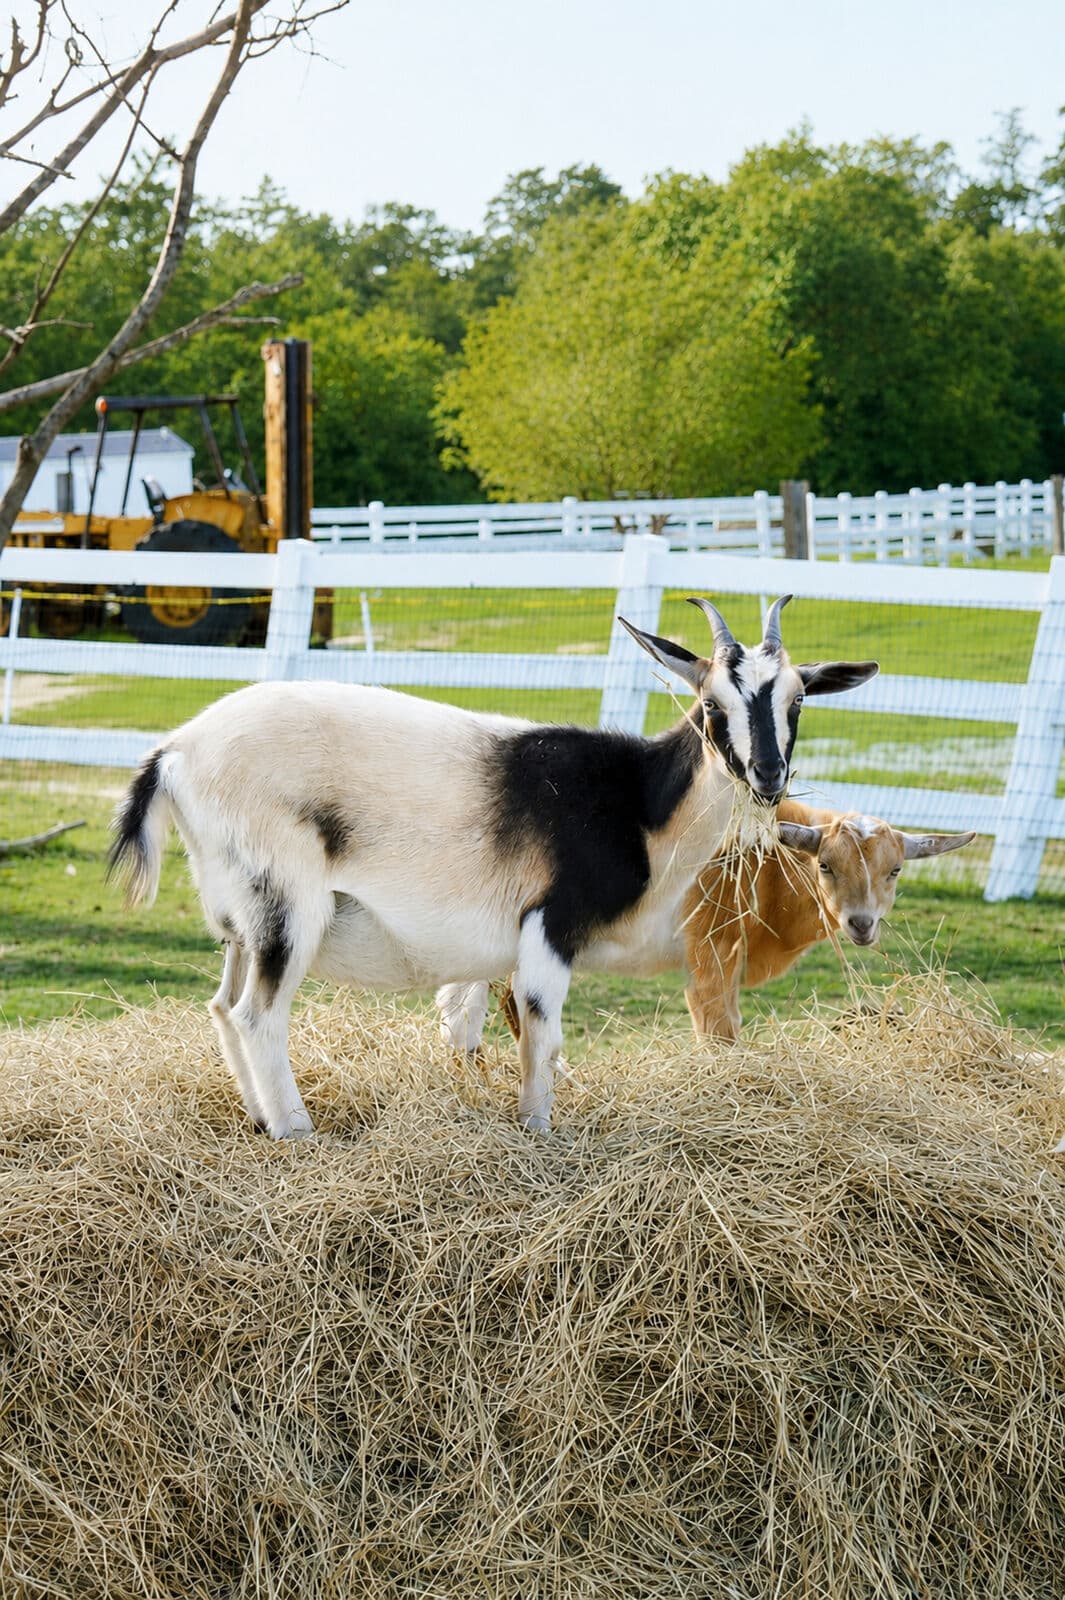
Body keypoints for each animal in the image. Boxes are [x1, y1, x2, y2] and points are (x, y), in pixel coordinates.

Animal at [108, 595, 877, 1138]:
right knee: (256, 1015)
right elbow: (542, 1031)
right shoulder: (550, 925)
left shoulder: (487, 956)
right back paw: (297, 1130)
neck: (638, 804)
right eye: (711, 704)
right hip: (287, 910)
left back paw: (259, 1118)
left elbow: (470, 1026)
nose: (768, 776)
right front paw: (537, 1130)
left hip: (242, 921)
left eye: (796, 700)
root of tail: (174, 754)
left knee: (221, 1007)